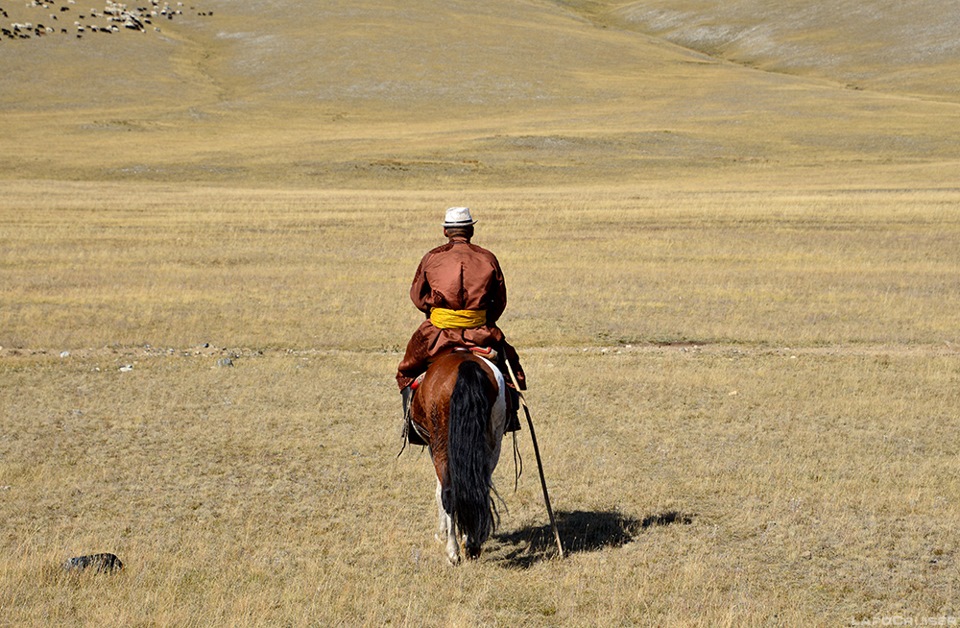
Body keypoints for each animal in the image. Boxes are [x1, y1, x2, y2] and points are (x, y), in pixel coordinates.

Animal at [406, 348, 510, 564]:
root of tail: (466, 365)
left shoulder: (432, 446)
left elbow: (439, 489)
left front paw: (443, 532)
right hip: (493, 440)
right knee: (479, 487)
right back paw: (472, 544)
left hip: (441, 442)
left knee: (448, 492)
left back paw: (453, 551)